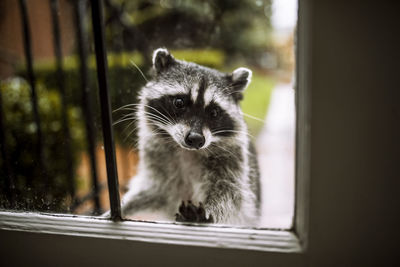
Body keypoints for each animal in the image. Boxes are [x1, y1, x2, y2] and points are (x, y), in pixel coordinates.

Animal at [120, 48, 260, 226]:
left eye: (214, 112)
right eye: (179, 102)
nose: (195, 139)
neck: (187, 151)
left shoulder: (232, 161)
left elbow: (231, 196)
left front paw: (209, 212)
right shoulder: (158, 161)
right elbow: (153, 191)